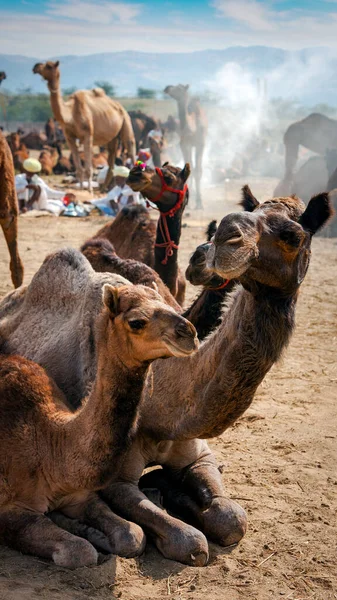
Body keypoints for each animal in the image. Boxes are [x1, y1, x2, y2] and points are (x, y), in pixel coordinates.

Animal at [0, 276, 197, 568]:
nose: (189, 333)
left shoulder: (80, 496)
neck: (51, 442)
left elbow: (133, 534)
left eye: (166, 301)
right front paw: (81, 534)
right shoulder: (11, 508)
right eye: (136, 322)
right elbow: (79, 551)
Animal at [32, 60, 135, 192]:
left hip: (126, 120)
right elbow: (79, 168)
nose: (35, 67)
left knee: (130, 147)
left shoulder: (88, 135)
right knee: (111, 158)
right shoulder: (69, 138)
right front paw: (81, 188)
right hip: (112, 138)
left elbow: (88, 168)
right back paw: (104, 188)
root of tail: (119, 106)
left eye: (49, 66)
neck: (70, 114)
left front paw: (89, 189)